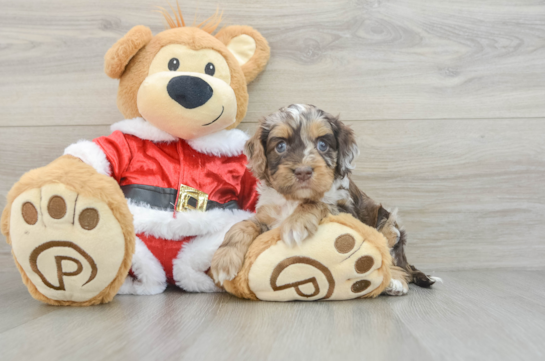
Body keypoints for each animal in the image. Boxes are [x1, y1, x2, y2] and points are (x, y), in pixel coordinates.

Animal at [210, 102, 436, 294]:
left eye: (322, 145)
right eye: (280, 146)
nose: (303, 171)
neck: (294, 199)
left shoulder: (346, 210)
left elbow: (319, 202)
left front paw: (296, 224)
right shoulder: (268, 216)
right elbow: (242, 225)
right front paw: (223, 260)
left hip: (389, 224)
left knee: (395, 260)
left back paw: (395, 281)